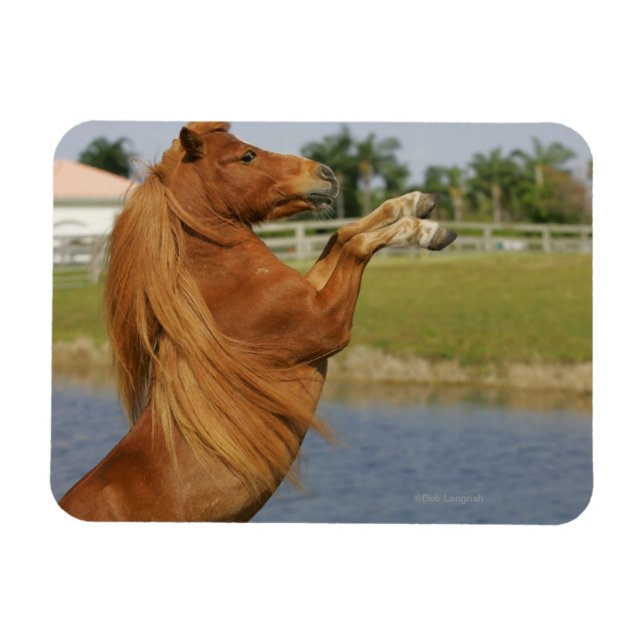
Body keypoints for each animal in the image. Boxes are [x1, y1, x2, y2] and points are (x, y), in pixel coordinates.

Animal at [58, 122, 456, 521]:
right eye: (247, 156)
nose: (327, 174)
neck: (228, 286)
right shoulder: (328, 324)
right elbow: (356, 245)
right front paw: (427, 230)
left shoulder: (311, 291)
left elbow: (342, 234)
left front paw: (418, 202)